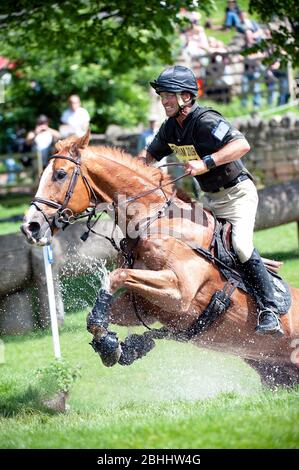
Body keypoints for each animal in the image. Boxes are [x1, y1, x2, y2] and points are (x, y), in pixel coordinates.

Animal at [21, 130, 299, 388]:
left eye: (60, 174)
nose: (30, 227)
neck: (153, 220)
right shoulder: (147, 306)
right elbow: (106, 310)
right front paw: (113, 344)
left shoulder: (178, 292)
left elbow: (116, 276)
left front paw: (116, 342)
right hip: (270, 373)